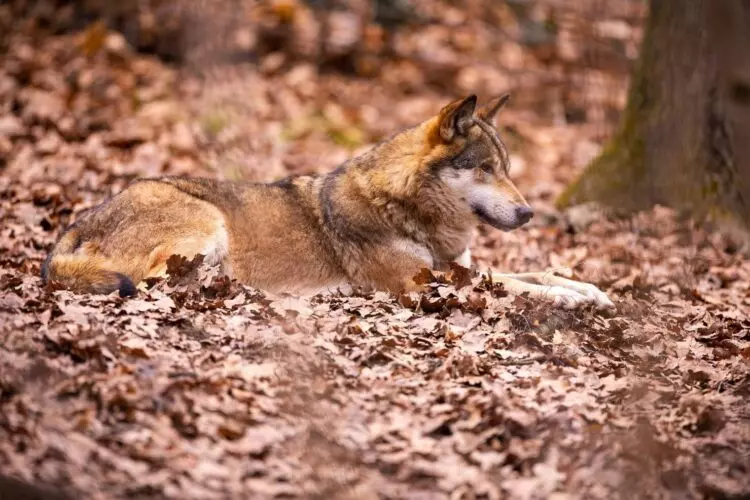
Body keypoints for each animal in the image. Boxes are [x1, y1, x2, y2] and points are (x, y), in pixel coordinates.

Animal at [42, 94, 613, 309]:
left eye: (508, 170)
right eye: (485, 169)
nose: (529, 213)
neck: (405, 205)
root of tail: (70, 231)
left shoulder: (457, 265)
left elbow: (532, 271)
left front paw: (588, 289)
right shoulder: (419, 283)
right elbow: (514, 284)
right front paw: (569, 299)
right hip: (207, 224)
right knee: (153, 281)